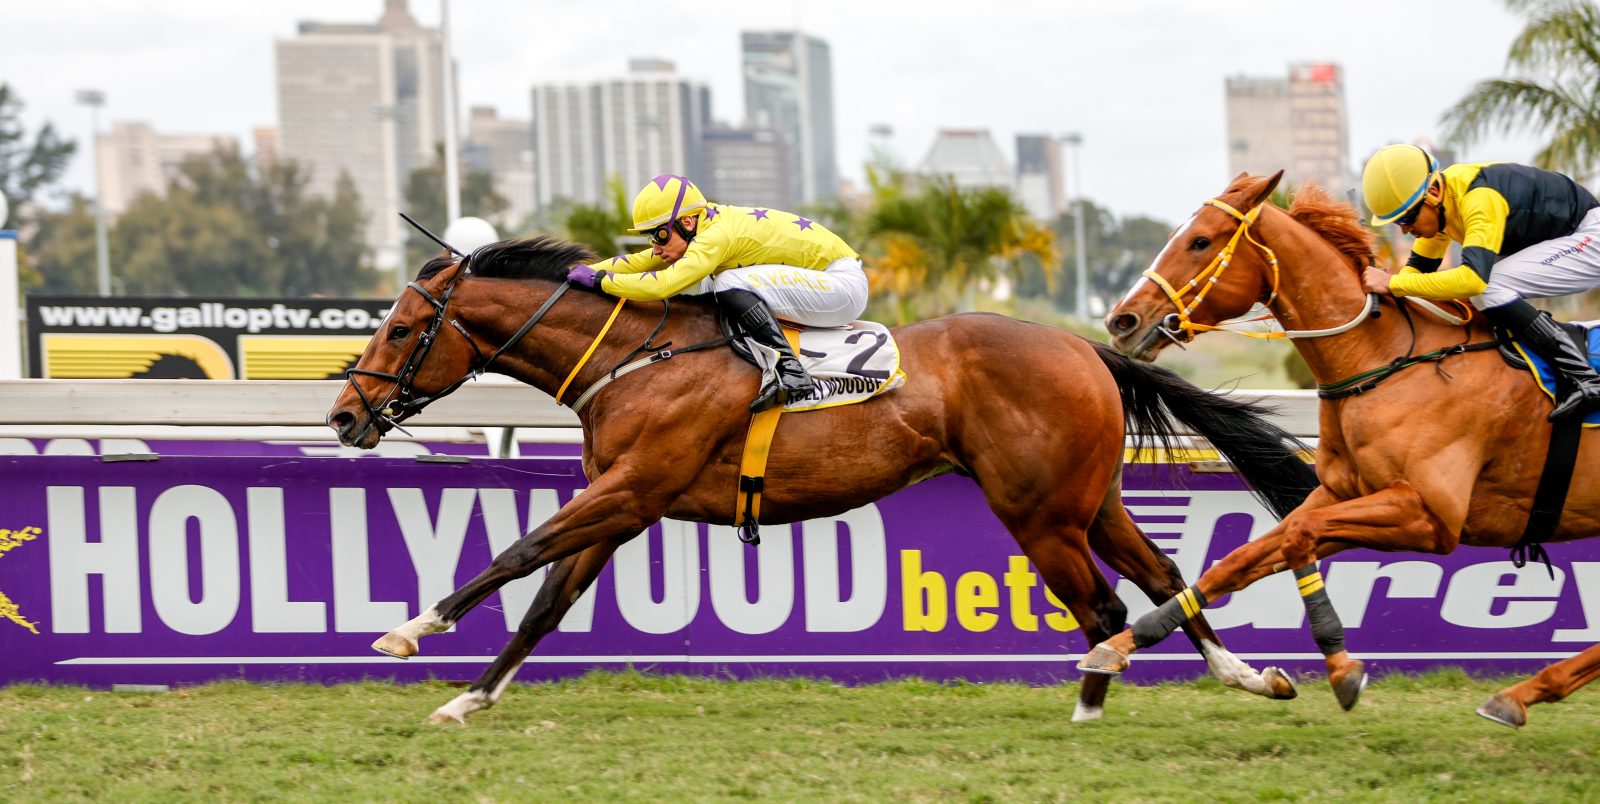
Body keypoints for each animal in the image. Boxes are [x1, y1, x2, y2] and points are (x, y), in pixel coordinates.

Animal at [326, 235, 1317, 725]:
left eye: (403, 326)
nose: (342, 415)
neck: (635, 355)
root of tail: (1082, 346)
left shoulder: (631, 488)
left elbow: (517, 553)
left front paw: (408, 632)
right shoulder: (625, 503)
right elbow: (544, 602)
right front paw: (470, 697)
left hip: (1038, 513)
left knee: (1106, 606)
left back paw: (1090, 705)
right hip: (1087, 500)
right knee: (1163, 577)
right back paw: (1248, 677)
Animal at [1083, 171, 1600, 728]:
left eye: (1199, 241)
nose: (1122, 321)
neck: (1386, 359)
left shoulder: (1429, 516)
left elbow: (1297, 538)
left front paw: (1341, 665)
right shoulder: (1338, 494)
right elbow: (1243, 557)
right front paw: (1123, 642)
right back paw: (1521, 694)